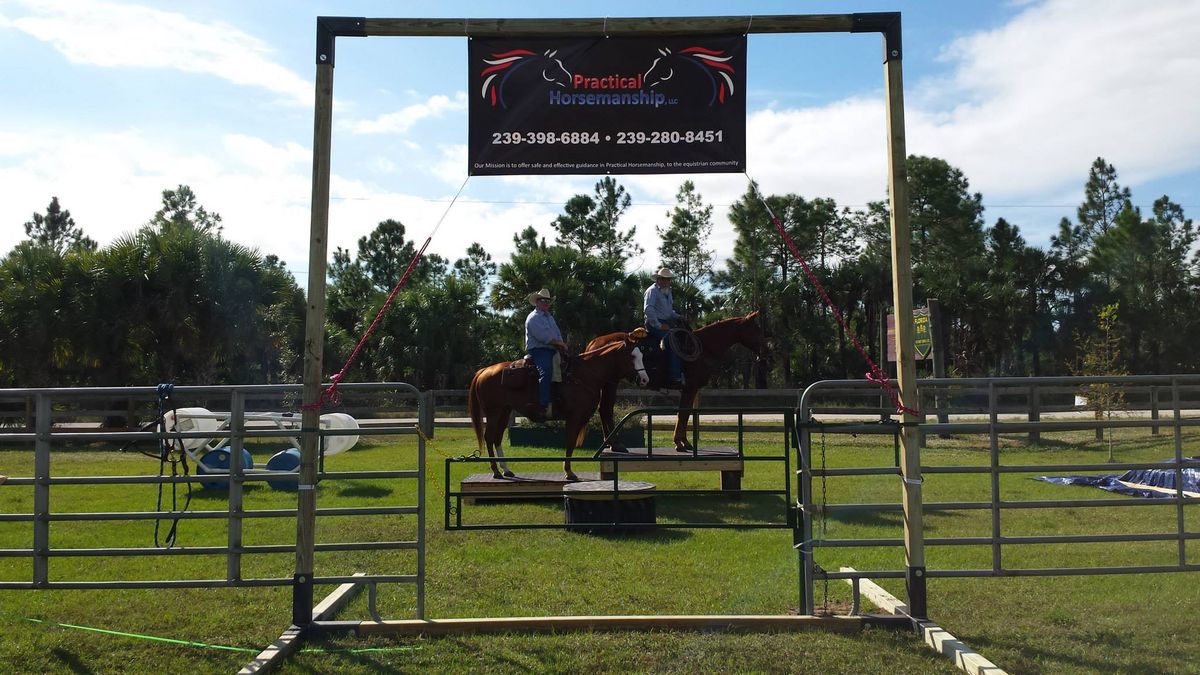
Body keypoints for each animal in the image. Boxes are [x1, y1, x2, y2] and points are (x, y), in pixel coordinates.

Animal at [465, 326, 648, 478]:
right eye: (632, 356)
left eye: (642, 355)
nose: (645, 379)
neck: (583, 374)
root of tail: (484, 371)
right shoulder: (573, 417)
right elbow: (570, 442)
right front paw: (569, 472)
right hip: (493, 412)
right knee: (489, 437)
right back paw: (496, 471)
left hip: (504, 411)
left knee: (497, 438)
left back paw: (506, 470)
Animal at [588, 312, 768, 449]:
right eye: (756, 329)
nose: (765, 352)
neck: (704, 347)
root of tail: (595, 342)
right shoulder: (690, 387)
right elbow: (683, 414)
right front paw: (682, 443)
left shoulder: (689, 389)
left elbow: (684, 414)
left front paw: (681, 441)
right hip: (611, 383)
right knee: (606, 409)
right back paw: (615, 443)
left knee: (604, 408)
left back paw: (610, 443)